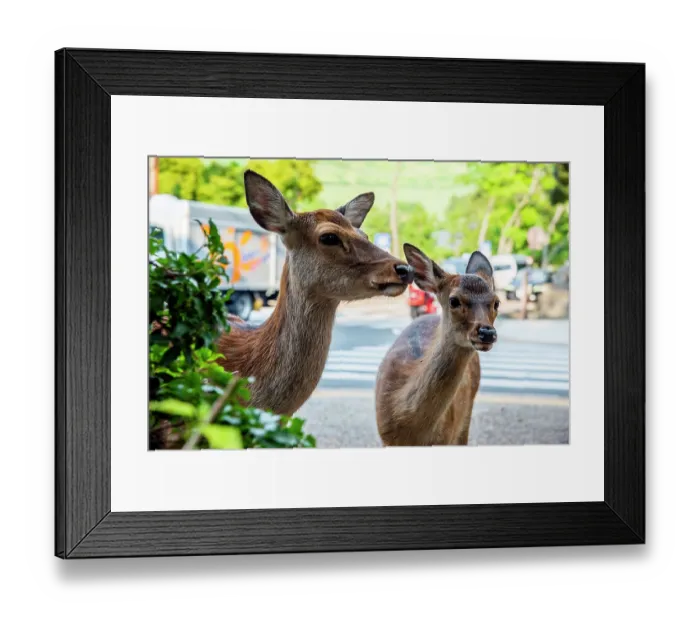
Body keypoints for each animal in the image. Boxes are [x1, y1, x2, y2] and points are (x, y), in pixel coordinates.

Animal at [375, 244, 499, 447]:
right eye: (454, 300)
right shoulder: (386, 439)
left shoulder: (446, 437)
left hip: (466, 414)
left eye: (496, 302)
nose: (487, 333)